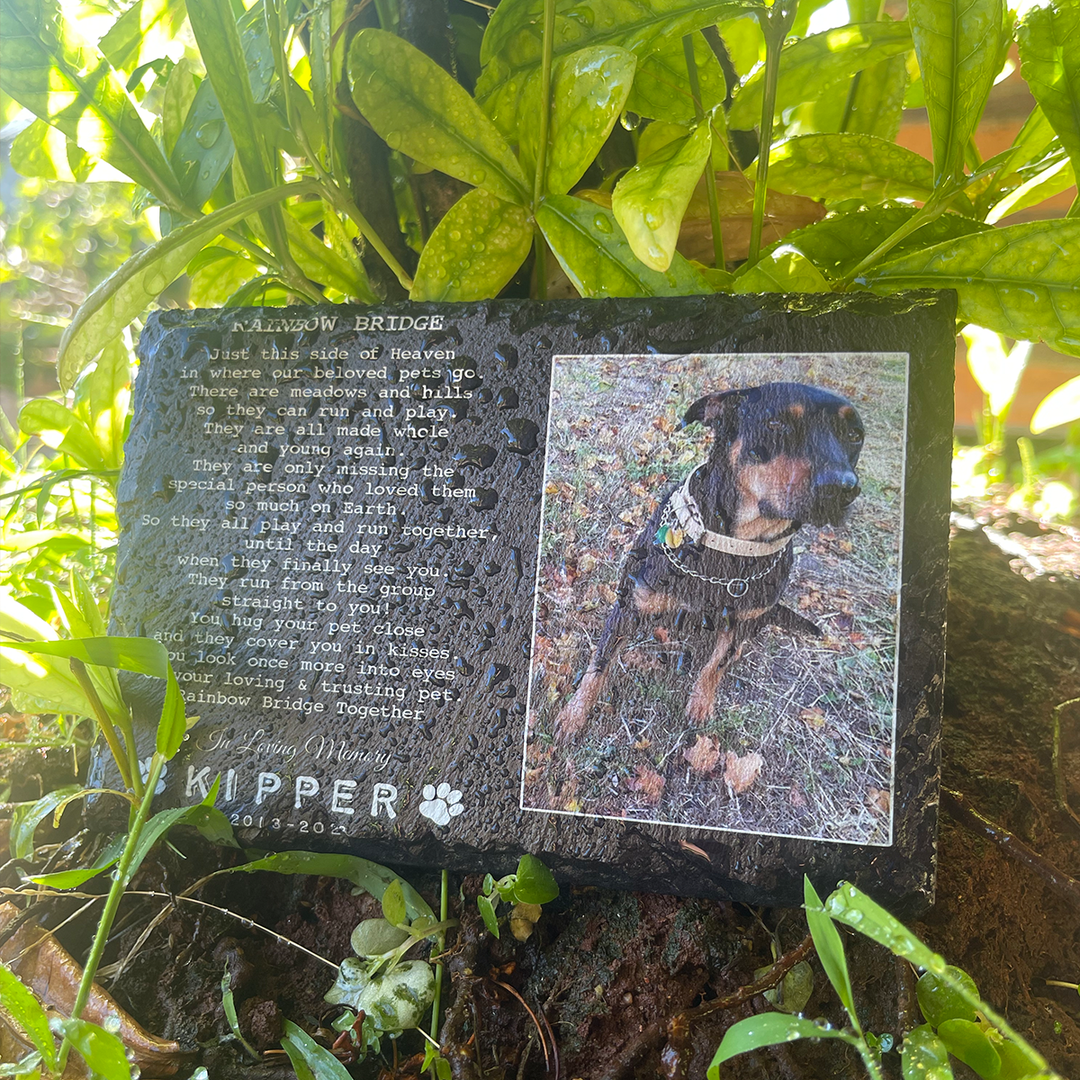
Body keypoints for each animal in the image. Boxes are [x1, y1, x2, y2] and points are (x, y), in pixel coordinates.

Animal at [552, 382, 864, 743]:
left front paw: (701, 705)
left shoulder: (742, 622)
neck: (734, 546)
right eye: (776, 423)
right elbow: (598, 665)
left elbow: (715, 666)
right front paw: (573, 715)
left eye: (855, 435)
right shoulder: (628, 606)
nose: (842, 487)